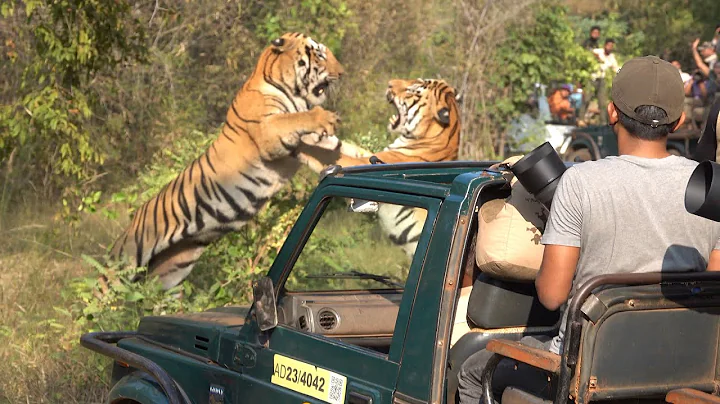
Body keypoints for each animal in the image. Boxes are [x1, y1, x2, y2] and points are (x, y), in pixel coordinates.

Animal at [109, 32, 344, 290]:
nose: (342, 73)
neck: (290, 89)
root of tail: (132, 219)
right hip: (125, 261)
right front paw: (325, 117)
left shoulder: (306, 143)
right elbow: (295, 118)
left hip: (171, 270)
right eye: (319, 54)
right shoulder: (268, 132)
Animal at [296, 78, 462, 257]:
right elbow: (339, 146)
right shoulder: (371, 157)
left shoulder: (366, 163)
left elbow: (327, 153)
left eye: (413, 89)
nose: (390, 83)